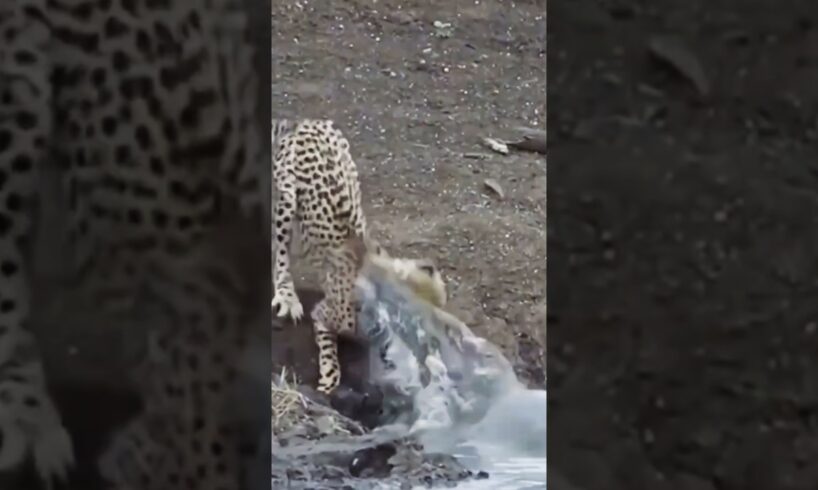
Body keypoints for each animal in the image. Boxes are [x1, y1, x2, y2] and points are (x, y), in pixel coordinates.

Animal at [272, 119, 447, 395]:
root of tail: (307, 122)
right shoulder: (323, 316)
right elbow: (331, 357)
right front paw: (328, 382)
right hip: (287, 195)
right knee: (280, 249)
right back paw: (286, 295)